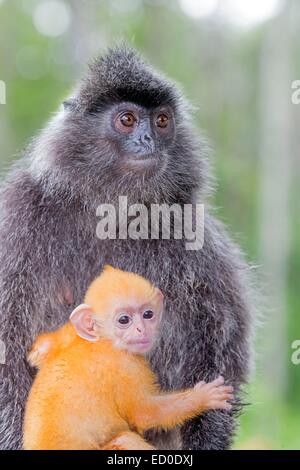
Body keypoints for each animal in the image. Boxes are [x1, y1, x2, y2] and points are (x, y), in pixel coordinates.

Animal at [23, 266, 234, 450]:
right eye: (124, 320)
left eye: (148, 314)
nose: (141, 329)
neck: (103, 341)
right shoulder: (126, 367)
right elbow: (146, 414)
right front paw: (204, 397)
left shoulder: (68, 335)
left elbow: (42, 349)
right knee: (125, 438)